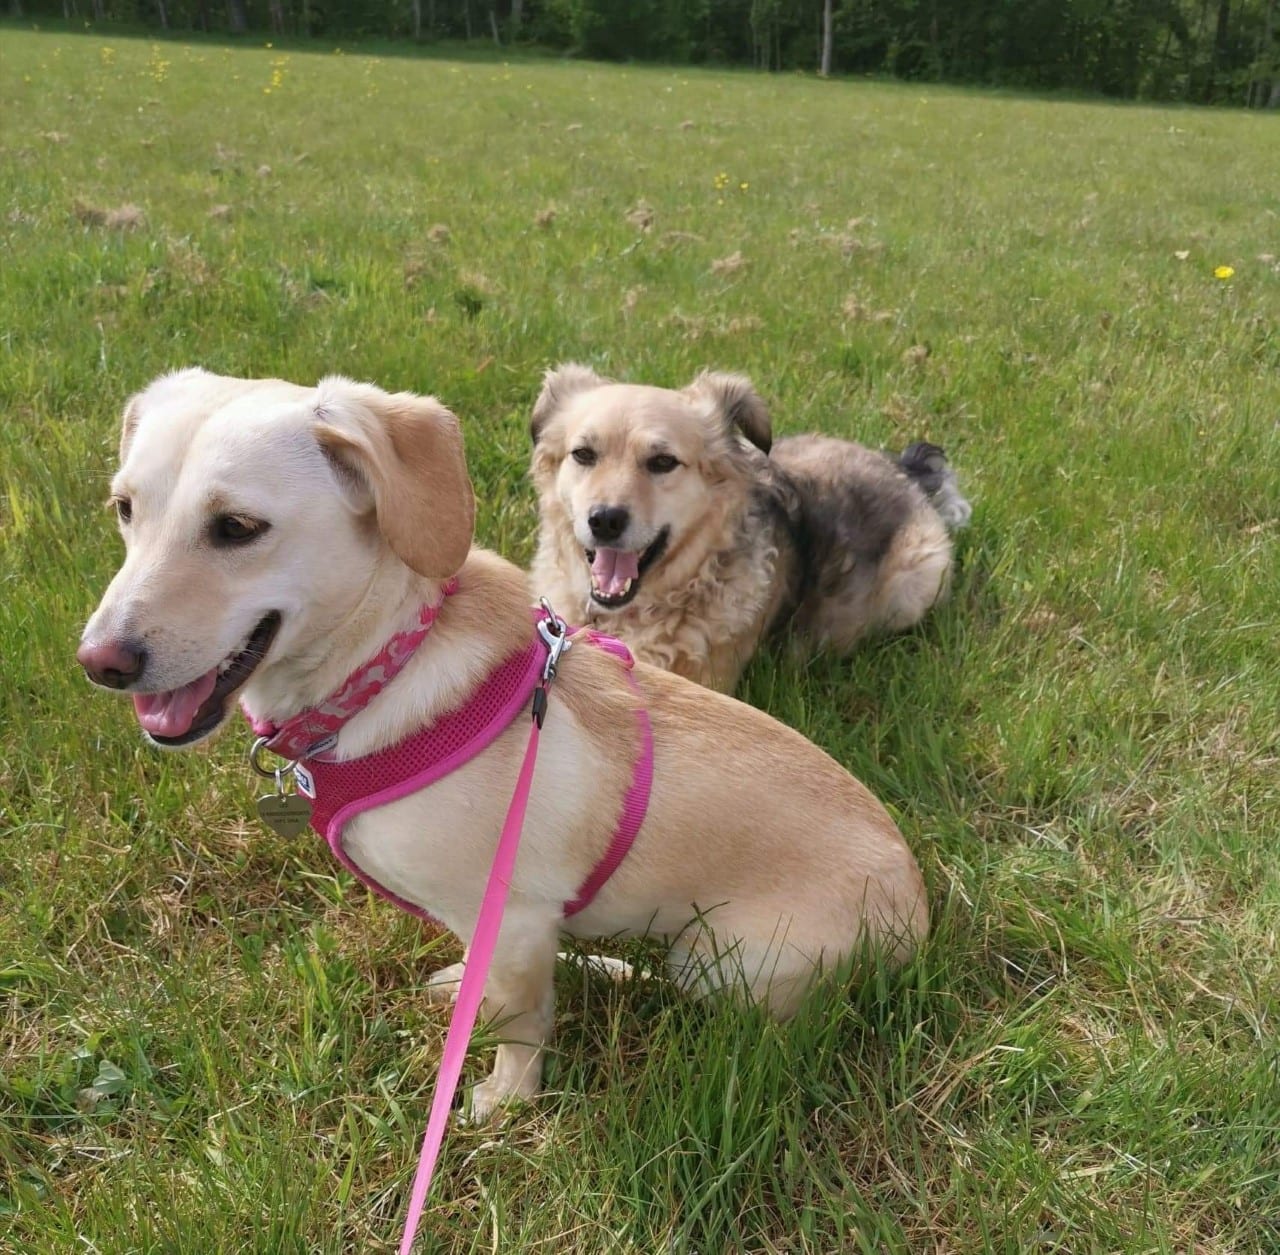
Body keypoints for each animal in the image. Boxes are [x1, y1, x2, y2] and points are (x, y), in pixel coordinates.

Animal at [80, 371, 931, 1116]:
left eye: (237, 528)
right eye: (123, 509)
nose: (100, 663)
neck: (388, 660)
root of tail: (924, 911)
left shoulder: (513, 917)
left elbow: (516, 1019)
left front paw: (505, 1098)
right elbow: (488, 980)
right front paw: (467, 986)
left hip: (723, 959)